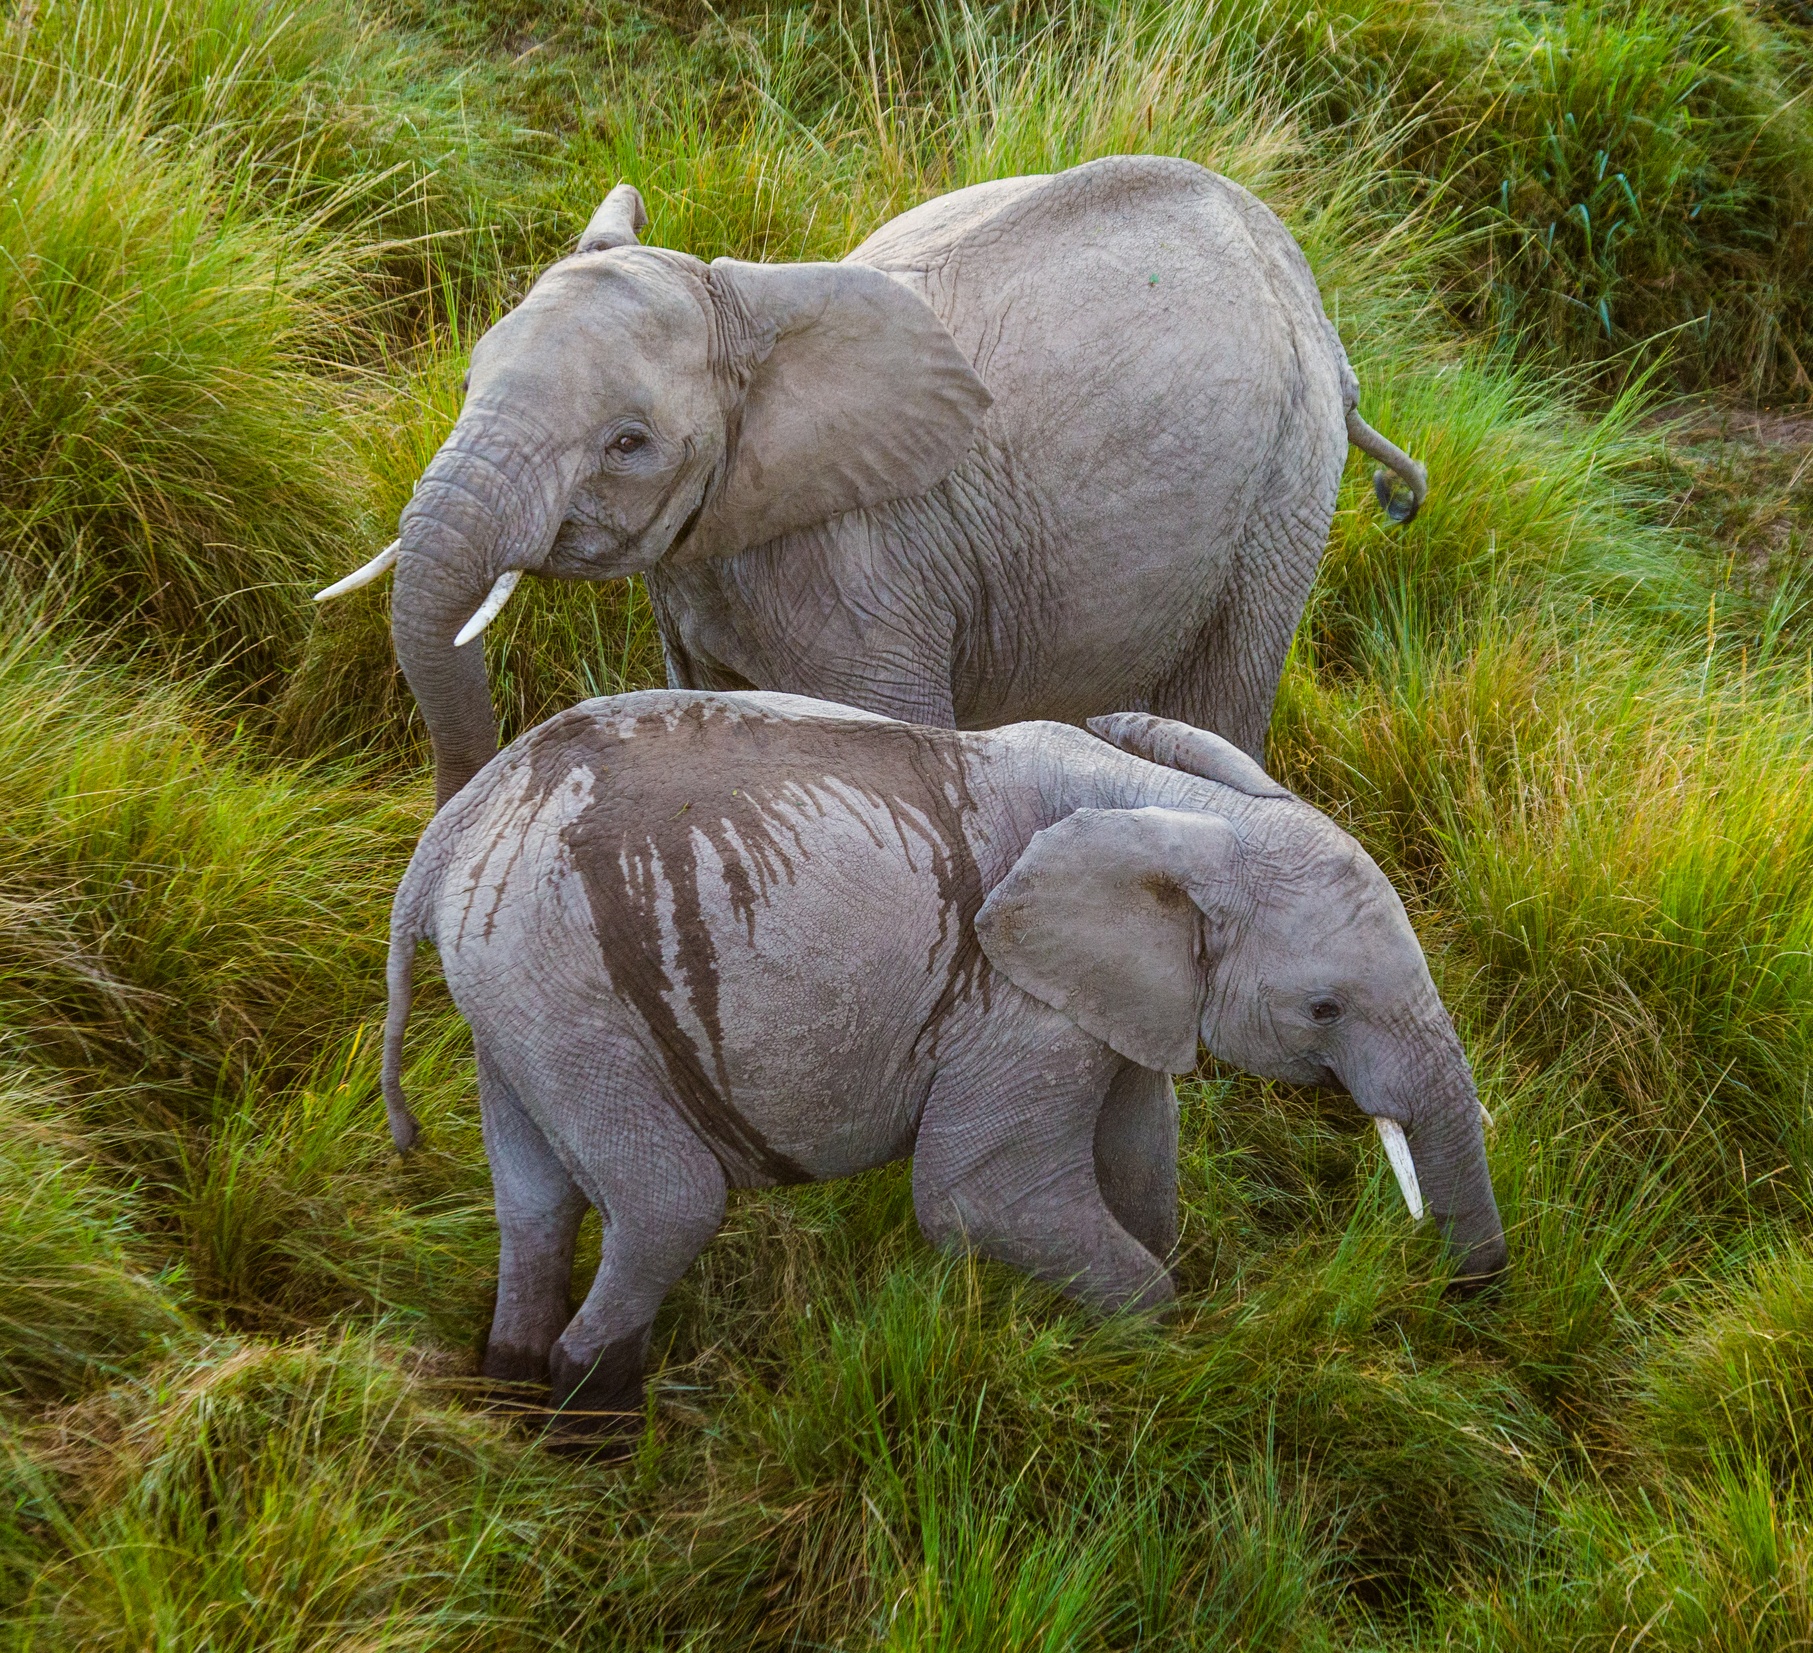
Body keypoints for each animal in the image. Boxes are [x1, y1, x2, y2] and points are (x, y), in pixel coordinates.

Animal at [318, 156, 1427, 811]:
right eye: (469, 382)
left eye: (627, 443)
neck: (746, 308)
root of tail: (1319, 317)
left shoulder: (867, 576)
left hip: (1285, 488)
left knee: (1219, 697)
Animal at [381, 690, 1502, 1433]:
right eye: (1324, 1007)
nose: (1468, 1303)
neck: (1176, 808)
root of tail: (449, 835)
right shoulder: (1015, 1002)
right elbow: (978, 1196)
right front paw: (1143, 1356)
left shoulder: (1106, 999)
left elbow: (1139, 1157)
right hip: (563, 978)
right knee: (668, 1201)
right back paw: (593, 1434)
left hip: (518, 995)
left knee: (537, 1197)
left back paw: (512, 1390)